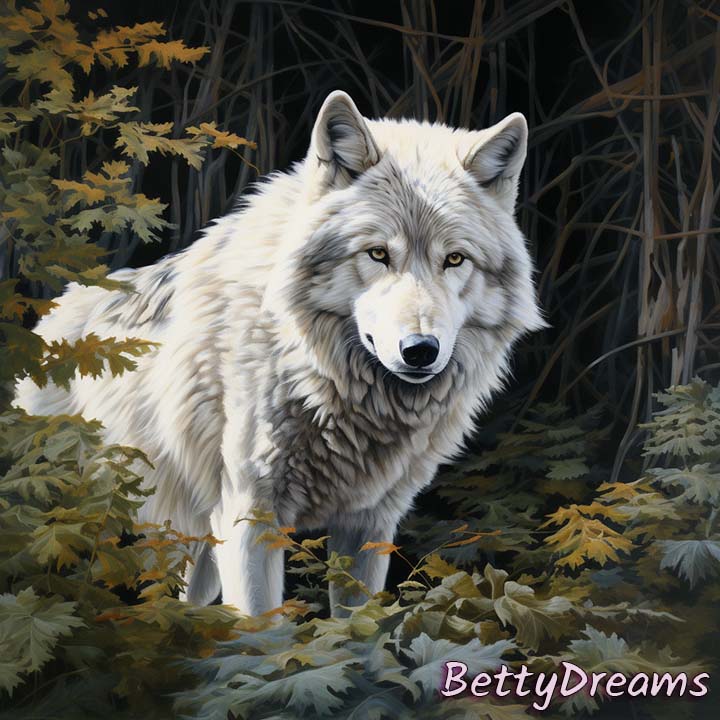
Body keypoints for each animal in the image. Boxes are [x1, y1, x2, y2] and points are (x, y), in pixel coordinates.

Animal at [15, 91, 544, 616]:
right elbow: (263, 627)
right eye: (377, 253)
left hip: (195, 548)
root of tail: (49, 317)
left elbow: (357, 625)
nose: (419, 350)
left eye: (454, 259)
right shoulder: (250, 514)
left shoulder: (369, 526)